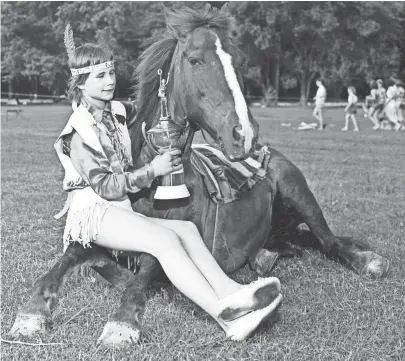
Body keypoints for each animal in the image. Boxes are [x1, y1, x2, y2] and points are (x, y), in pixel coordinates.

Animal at [9, 4, 388, 344]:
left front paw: (121, 324)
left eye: (237, 63)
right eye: (194, 60)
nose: (244, 134)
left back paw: (365, 261)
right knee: (305, 241)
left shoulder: (160, 247)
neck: (151, 186)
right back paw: (265, 259)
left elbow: (141, 275)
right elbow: (64, 263)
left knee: (329, 242)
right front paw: (30, 315)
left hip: (300, 195)